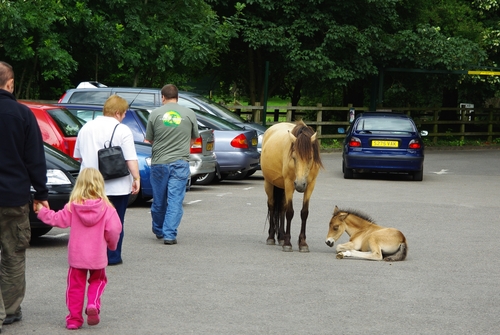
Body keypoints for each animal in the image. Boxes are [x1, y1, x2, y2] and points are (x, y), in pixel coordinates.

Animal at [260, 121, 322, 252]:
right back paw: (271, 237)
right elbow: (289, 212)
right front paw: (288, 243)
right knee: (272, 206)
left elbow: (304, 213)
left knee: (281, 208)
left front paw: (302, 243)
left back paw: (281, 237)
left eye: (310, 157)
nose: (299, 184)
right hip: (269, 183)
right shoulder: (289, 184)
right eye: (294, 157)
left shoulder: (310, 186)